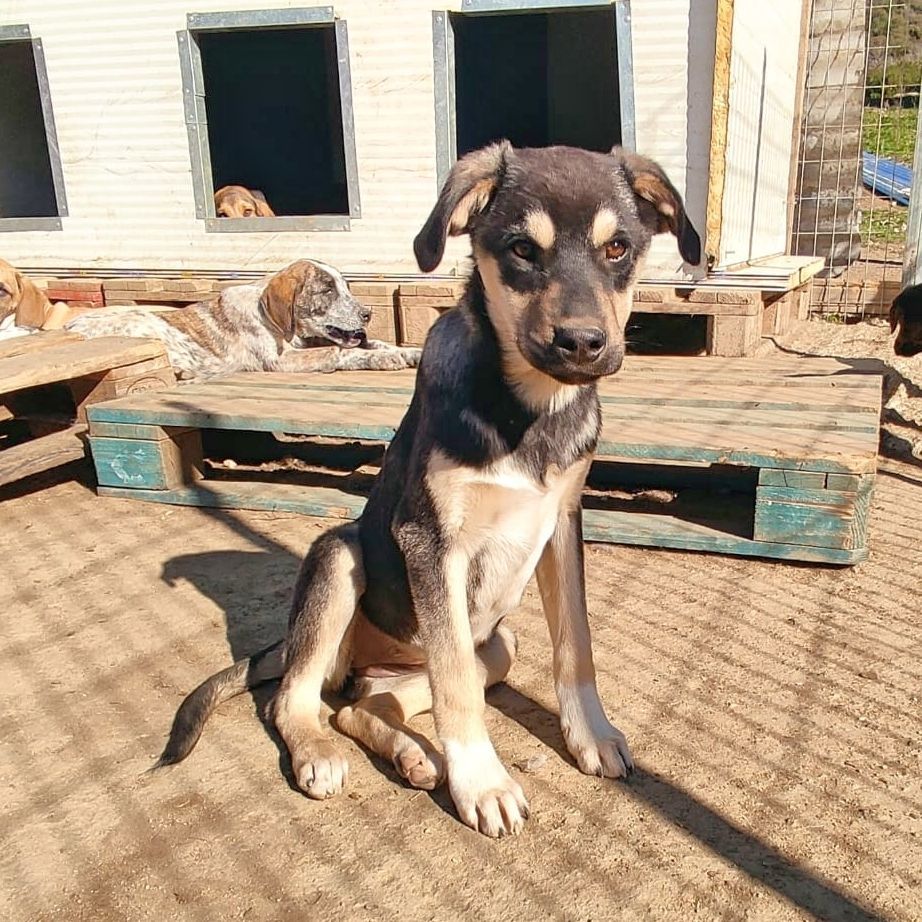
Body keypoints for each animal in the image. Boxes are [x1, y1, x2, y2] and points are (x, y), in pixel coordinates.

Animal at [65, 260, 421, 382]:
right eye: (327, 290)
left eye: (347, 287)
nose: (367, 314)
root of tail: (70, 327)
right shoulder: (281, 362)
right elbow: (343, 352)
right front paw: (382, 359)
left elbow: (375, 342)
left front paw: (409, 352)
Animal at [154, 143, 701, 837]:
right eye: (522, 249)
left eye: (618, 248)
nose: (581, 344)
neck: (529, 407)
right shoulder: (431, 542)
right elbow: (456, 685)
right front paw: (483, 784)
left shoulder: (562, 523)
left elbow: (574, 646)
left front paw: (592, 736)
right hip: (339, 559)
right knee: (297, 699)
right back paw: (324, 754)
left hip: (498, 644)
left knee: (364, 702)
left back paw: (413, 755)